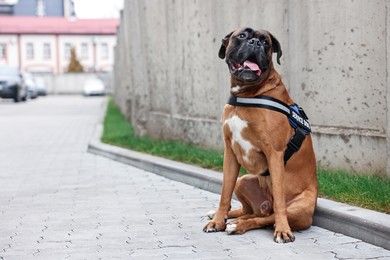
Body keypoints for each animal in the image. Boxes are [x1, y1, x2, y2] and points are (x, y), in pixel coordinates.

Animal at [203, 27, 318, 243]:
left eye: (266, 42)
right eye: (242, 36)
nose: (255, 43)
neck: (246, 94)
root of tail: (264, 206)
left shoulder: (275, 154)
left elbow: (279, 201)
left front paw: (283, 230)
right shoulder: (230, 154)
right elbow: (224, 193)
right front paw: (218, 220)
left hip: (298, 208)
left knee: (264, 218)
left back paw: (239, 225)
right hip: (244, 180)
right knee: (249, 211)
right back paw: (227, 217)